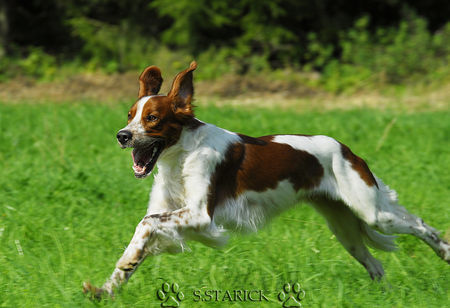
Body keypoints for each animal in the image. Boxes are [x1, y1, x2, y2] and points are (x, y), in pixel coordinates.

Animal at [82, 61, 448, 298]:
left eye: (153, 118)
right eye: (130, 115)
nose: (122, 136)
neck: (182, 154)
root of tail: (347, 149)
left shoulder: (201, 215)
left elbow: (146, 224)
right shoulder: (171, 212)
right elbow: (139, 240)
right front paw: (105, 289)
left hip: (373, 212)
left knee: (421, 226)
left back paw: (444, 252)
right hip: (344, 228)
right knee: (376, 265)